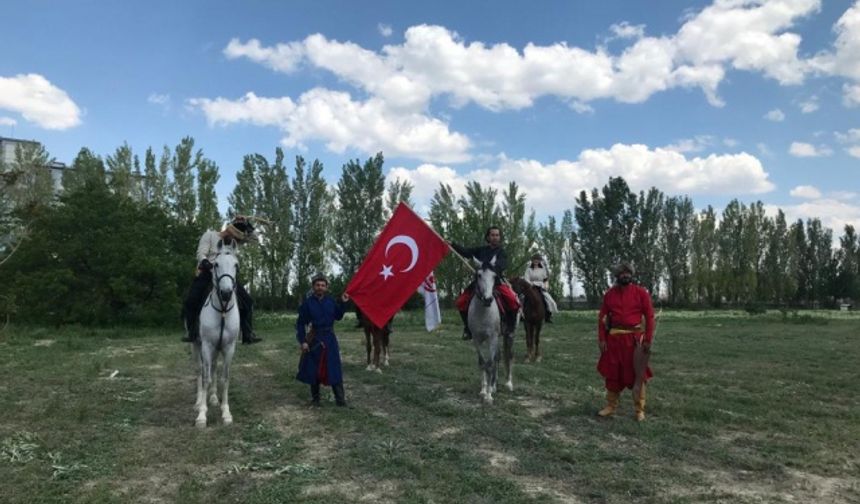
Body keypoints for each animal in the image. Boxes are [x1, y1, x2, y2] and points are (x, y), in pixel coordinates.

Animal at [191, 246, 239, 428]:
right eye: (215, 264)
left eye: (236, 265)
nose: (226, 293)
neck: (223, 311)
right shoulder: (206, 346)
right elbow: (205, 377)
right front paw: (201, 415)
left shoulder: (229, 347)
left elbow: (224, 378)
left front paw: (226, 412)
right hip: (196, 346)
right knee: (200, 370)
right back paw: (199, 402)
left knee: (214, 369)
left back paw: (212, 398)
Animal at [470, 258, 510, 404]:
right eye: (479, 275)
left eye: (494, 276)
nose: (487, 300)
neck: (483, 312)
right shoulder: (477, 339)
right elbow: (482, 363)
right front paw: (483, 390)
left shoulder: (492, 338)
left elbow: (490, 363)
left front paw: (488, 395)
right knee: (497, 357)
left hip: (505, 336)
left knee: (502, 357)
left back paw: (503, 385)